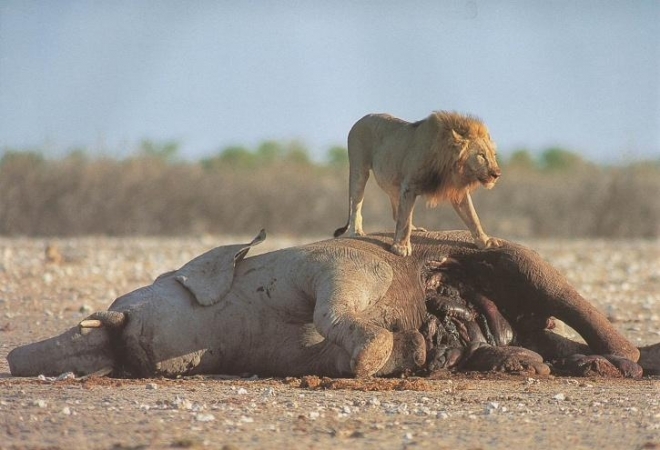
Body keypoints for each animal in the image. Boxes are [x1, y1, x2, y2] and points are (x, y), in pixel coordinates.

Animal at [332, 110, 502, 255]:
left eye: (493, 155)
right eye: (481, 155)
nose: (497, 174)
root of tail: (362, 118)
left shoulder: (458, 192)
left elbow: (473, 217)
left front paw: (485, 241)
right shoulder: (409, 186)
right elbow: (405, 220)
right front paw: (401, 247)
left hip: (394, 182)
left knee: (396, 212)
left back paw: (414, 229)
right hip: (359, 170)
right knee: (356, 204)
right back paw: (356, 232)